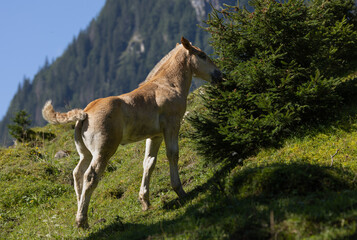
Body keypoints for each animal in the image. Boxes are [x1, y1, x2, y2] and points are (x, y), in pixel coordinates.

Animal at [41, 36, 220, 228]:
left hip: (86, 153)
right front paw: (180, 191)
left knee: (77, 174)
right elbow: (173, 155)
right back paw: (81, 221)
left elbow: (149, 162)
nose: (219, 75)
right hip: (103, 151)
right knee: (90, 176)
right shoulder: (172, 125)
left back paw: (81, 213)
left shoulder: (155, 135)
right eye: (202, 55)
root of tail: (85, 113)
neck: (168, 84)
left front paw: (145, 201)